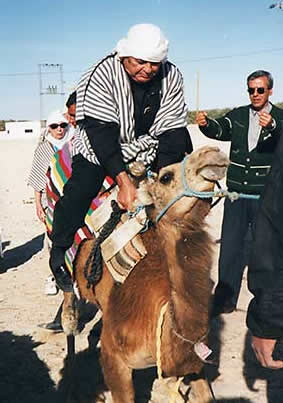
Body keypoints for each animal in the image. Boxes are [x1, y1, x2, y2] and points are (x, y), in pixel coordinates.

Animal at [61, 146, 230, 403]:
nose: (212, 152)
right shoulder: (114, 359)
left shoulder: (192, 362)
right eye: (166, 177)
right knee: (68, 312)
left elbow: (204, 393)